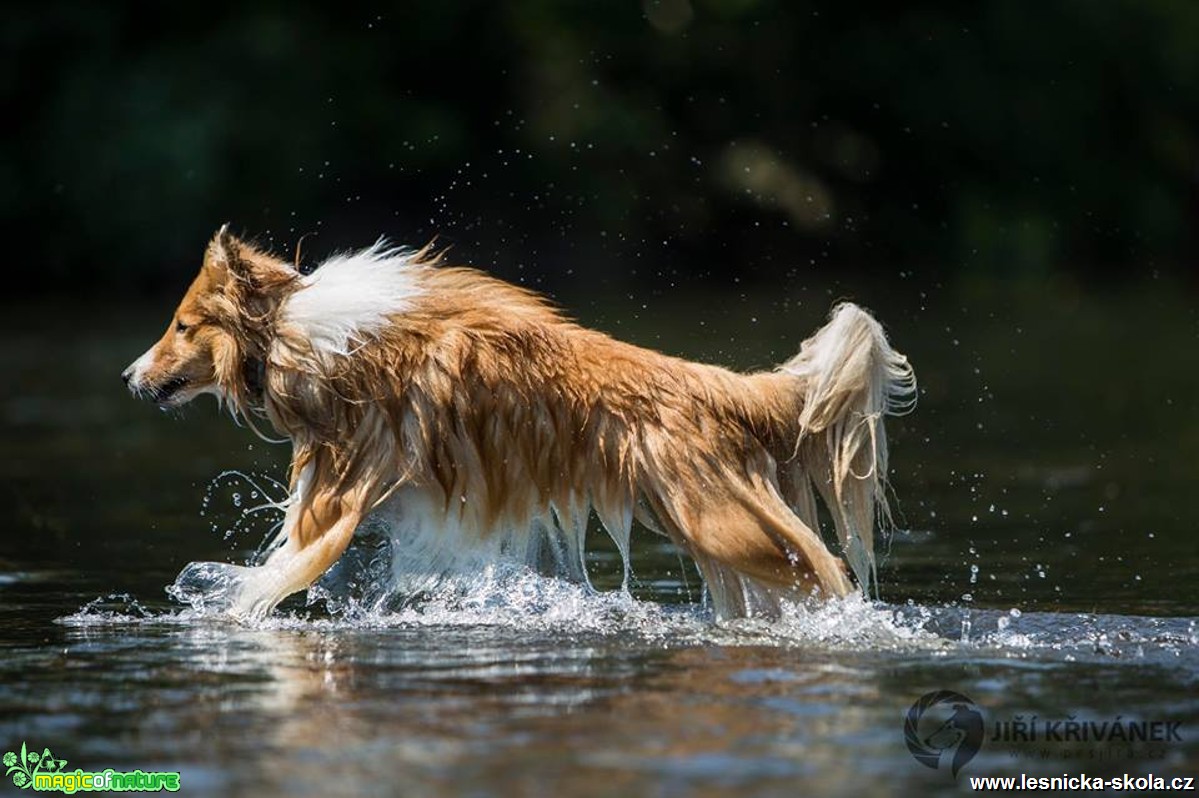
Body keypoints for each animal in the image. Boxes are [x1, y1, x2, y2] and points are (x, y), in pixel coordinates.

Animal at [121, 225, 911, 623]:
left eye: (182, 325)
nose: (130, 377)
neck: (293, 324)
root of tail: (720, 385)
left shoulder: (339, 486)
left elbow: (282, 561)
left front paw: (229, 601)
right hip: (710, 532)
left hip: (725, 525)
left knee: (830, 573)